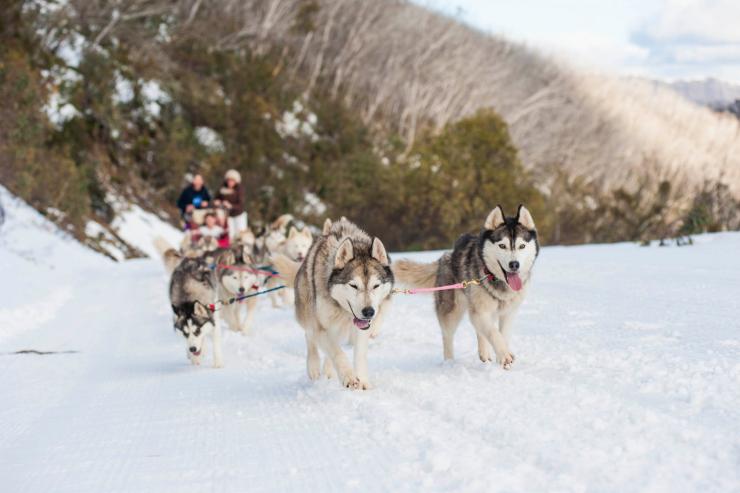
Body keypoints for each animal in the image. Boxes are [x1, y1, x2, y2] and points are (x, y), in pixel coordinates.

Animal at [273, 217, 394, 389]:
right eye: (353, 285)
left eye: (376, 286)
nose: (369, 312)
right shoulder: (321, 328)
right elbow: (337, 352)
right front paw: (349, 376)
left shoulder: (361, 329)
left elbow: (359, 354)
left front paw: (362, 381)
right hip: (309, 314)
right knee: (310, 336)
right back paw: (314, 367)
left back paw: (328, 371)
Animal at [394, 205, 539, 369]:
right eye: (502, 245)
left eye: (522, 246)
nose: (514, 264)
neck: (496, 279)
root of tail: (446, 255)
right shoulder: (481, 311)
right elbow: (493, 333)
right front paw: (504, 355)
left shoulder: (508, 312)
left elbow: (502, 334)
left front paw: (502, 357)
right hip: (452, 311)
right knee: (448, 336)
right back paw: (449, 363)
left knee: (478, 329)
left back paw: (484, 353)